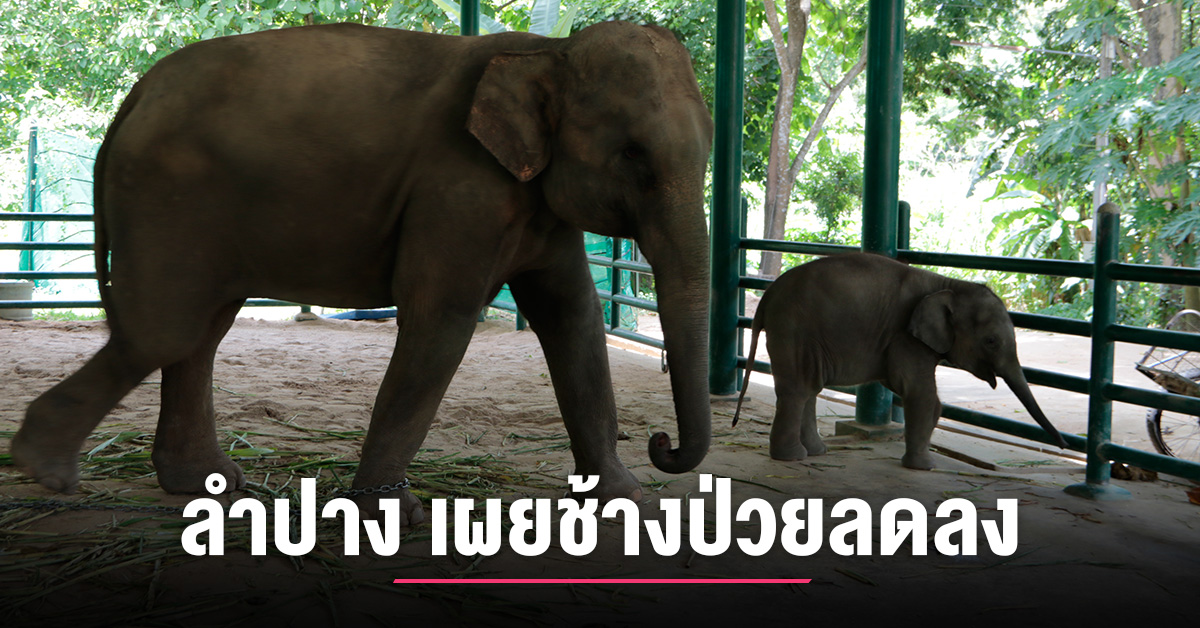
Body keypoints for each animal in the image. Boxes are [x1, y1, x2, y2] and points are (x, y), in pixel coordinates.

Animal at [11, 21, 715, 525]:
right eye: (634, 155)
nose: (662, 443)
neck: (548, 51)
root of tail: (133, 98)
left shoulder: (535, 203)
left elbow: (574, 319)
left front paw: (630, 500)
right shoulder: (460, 189)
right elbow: (441, 317)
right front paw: (393, 513)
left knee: (197, 333)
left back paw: (209, 488)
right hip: (168, 197)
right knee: (165, 330)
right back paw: (44, 469)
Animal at [732, 252, 1067, 470]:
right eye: (991, 341)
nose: (1064, 445)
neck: (950, 284)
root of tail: (768, 294)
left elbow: (928, 399)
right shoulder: (907, 338)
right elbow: (920, 393)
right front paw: (925, 467)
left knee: (808, 390)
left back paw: (816, 453)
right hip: (794, 330)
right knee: (797, 390)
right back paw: (792, 458)